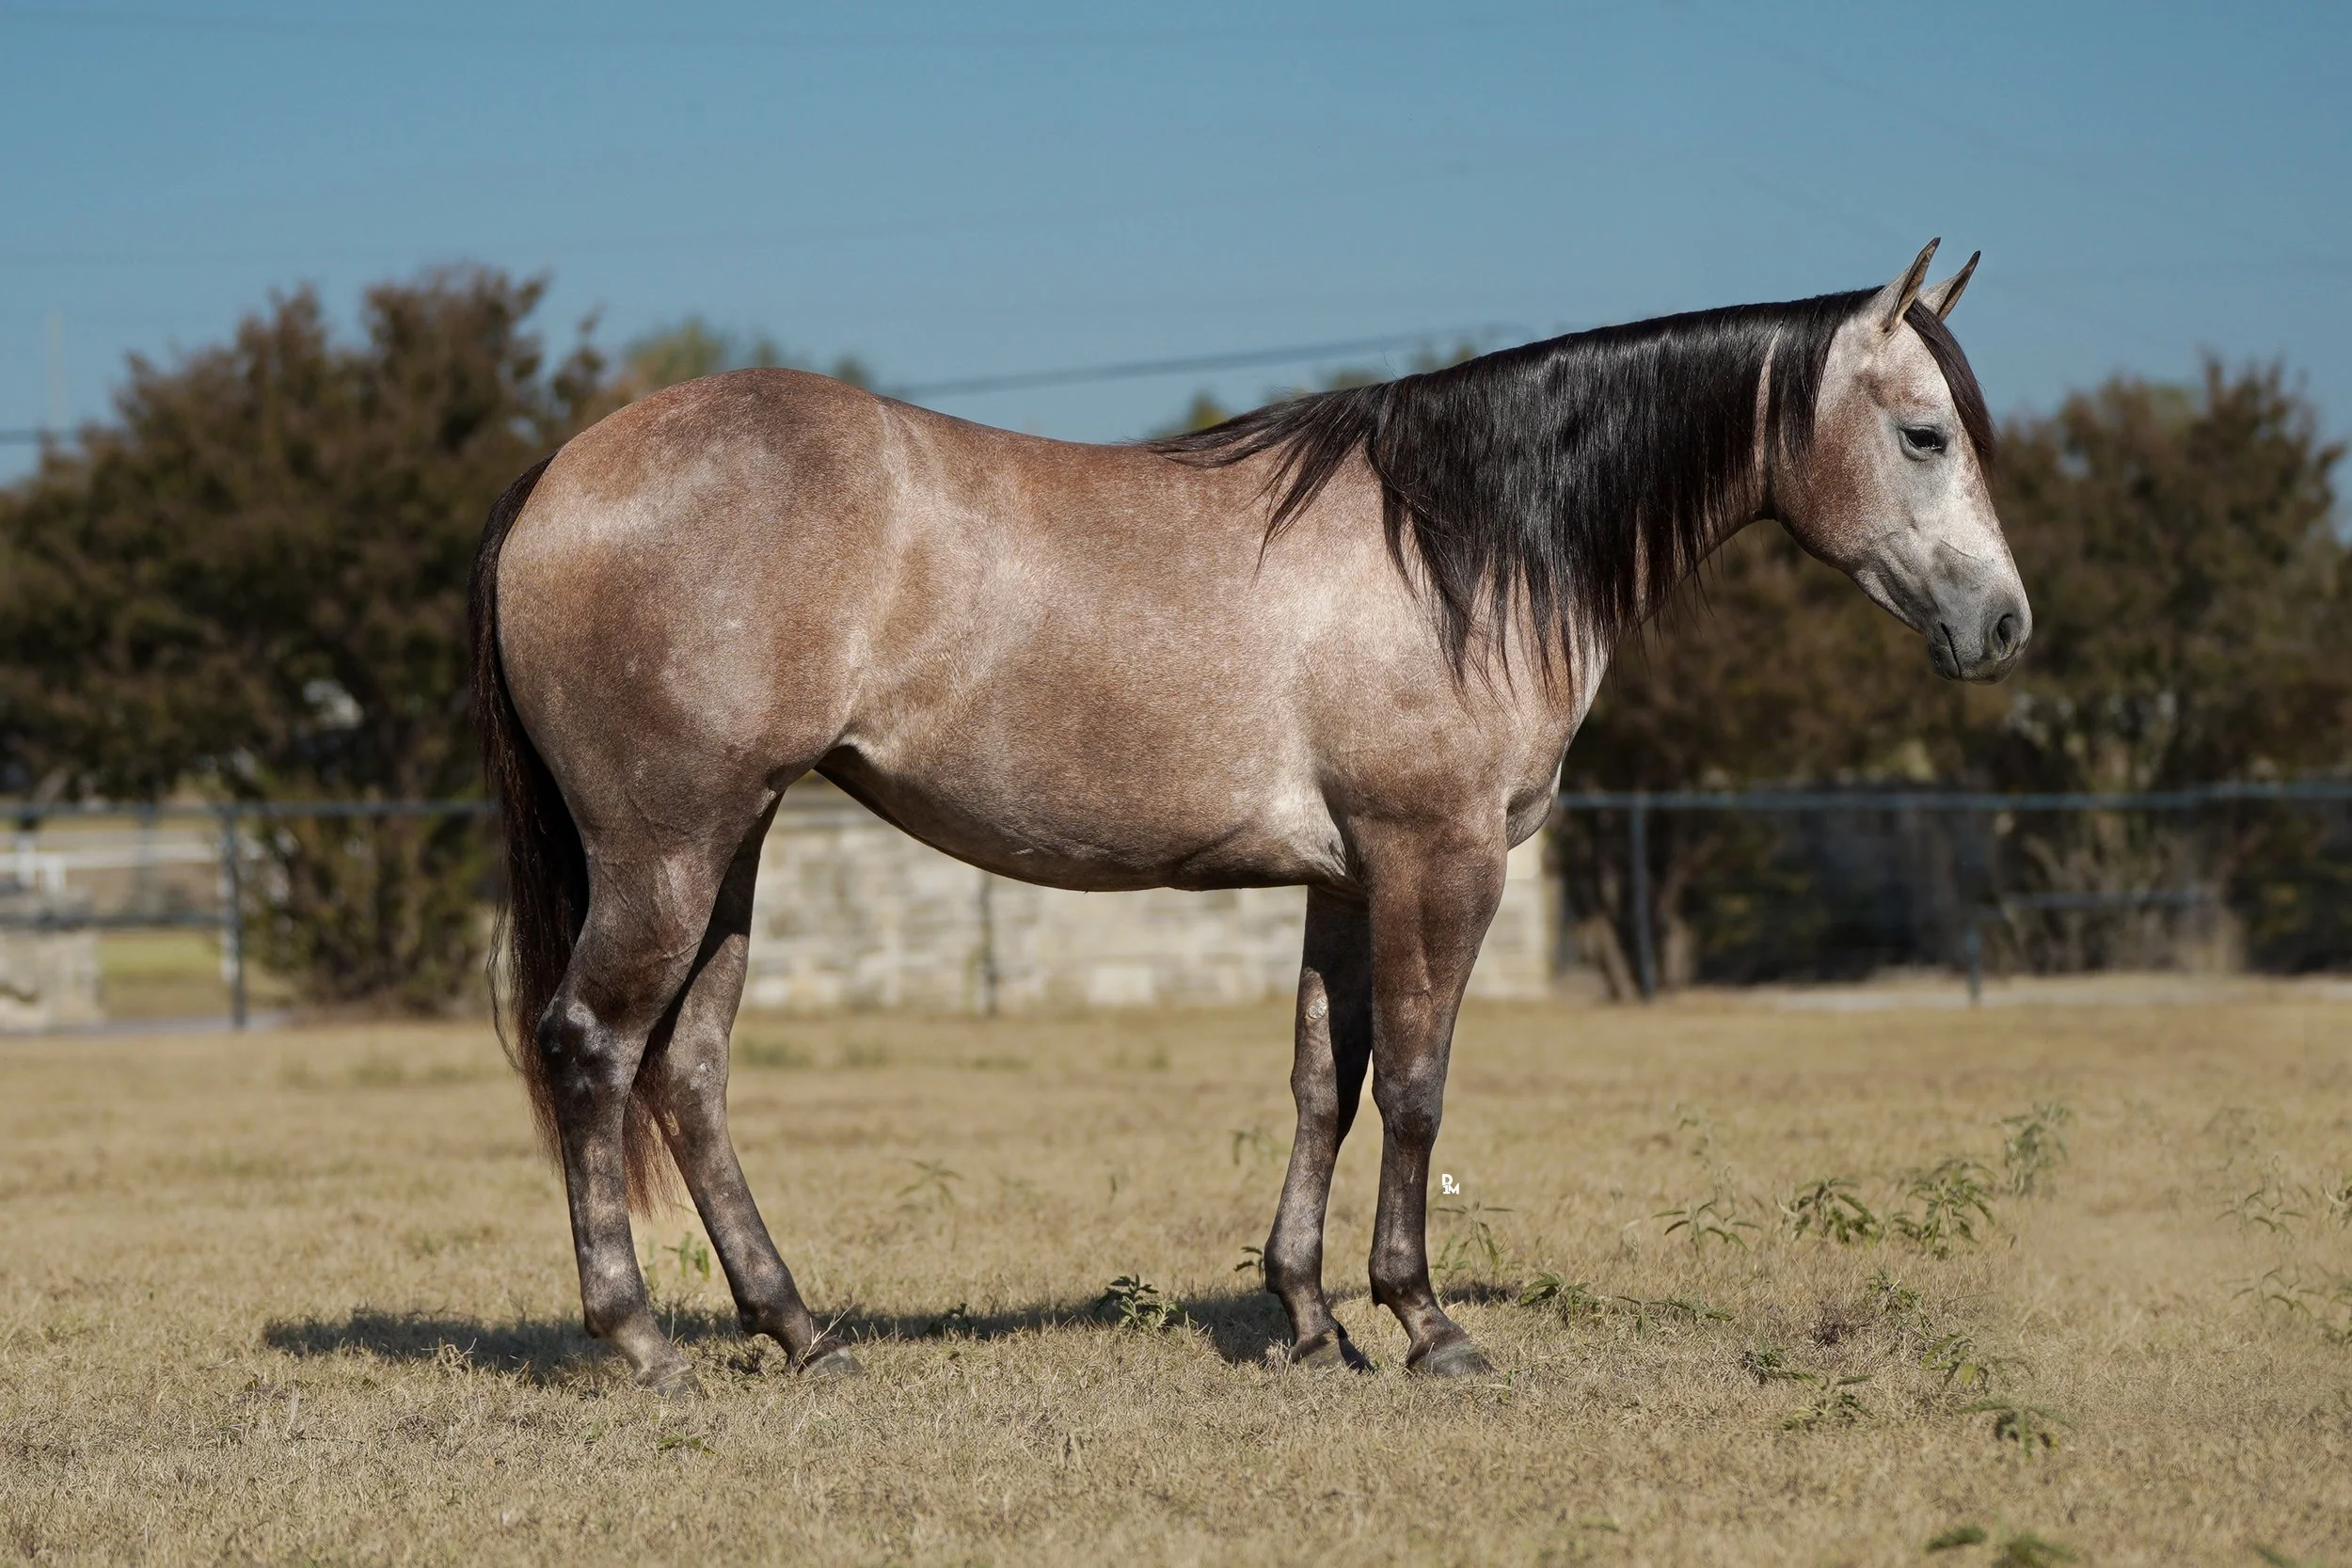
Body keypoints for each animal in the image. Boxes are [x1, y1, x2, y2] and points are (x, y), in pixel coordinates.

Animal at [468, 239, 2026, 1394]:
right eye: (1923, 432)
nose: (2004, 625)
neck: (1459, 550)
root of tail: (559, 474)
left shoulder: (1347, 879)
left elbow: (1323, 1083)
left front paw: (1309, 1316)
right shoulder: (1439, 861)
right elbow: (1415, 1087)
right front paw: (1424, 1321)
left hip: (729, 850)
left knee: (689, 1073)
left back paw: (800, 1327)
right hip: (669, 850)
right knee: (592, 1046)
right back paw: (642, 1337)